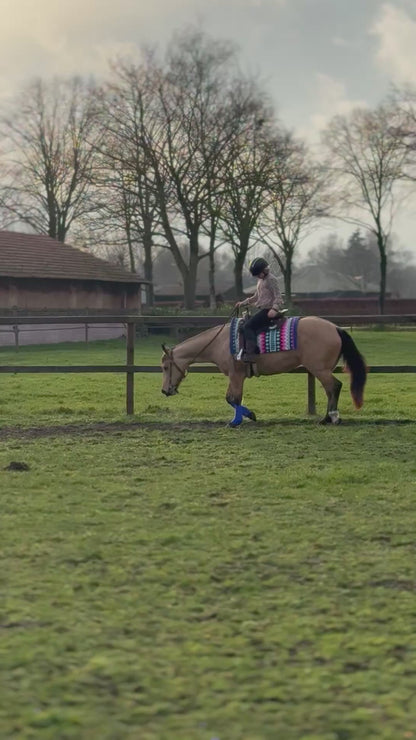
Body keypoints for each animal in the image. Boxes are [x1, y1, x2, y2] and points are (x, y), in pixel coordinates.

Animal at [161, 316, 367, 426]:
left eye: (165, 367)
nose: (164, 391)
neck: (220, 342)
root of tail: (336, 328)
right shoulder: (237, 377)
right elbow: (234, 398)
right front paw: (247, 416)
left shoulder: (236, 375)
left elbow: (232, 399)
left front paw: (238, 420)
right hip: (321, 369)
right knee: (330, 389)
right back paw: (326, 418)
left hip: (320, 369)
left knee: (334, 387)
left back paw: (333, 417)